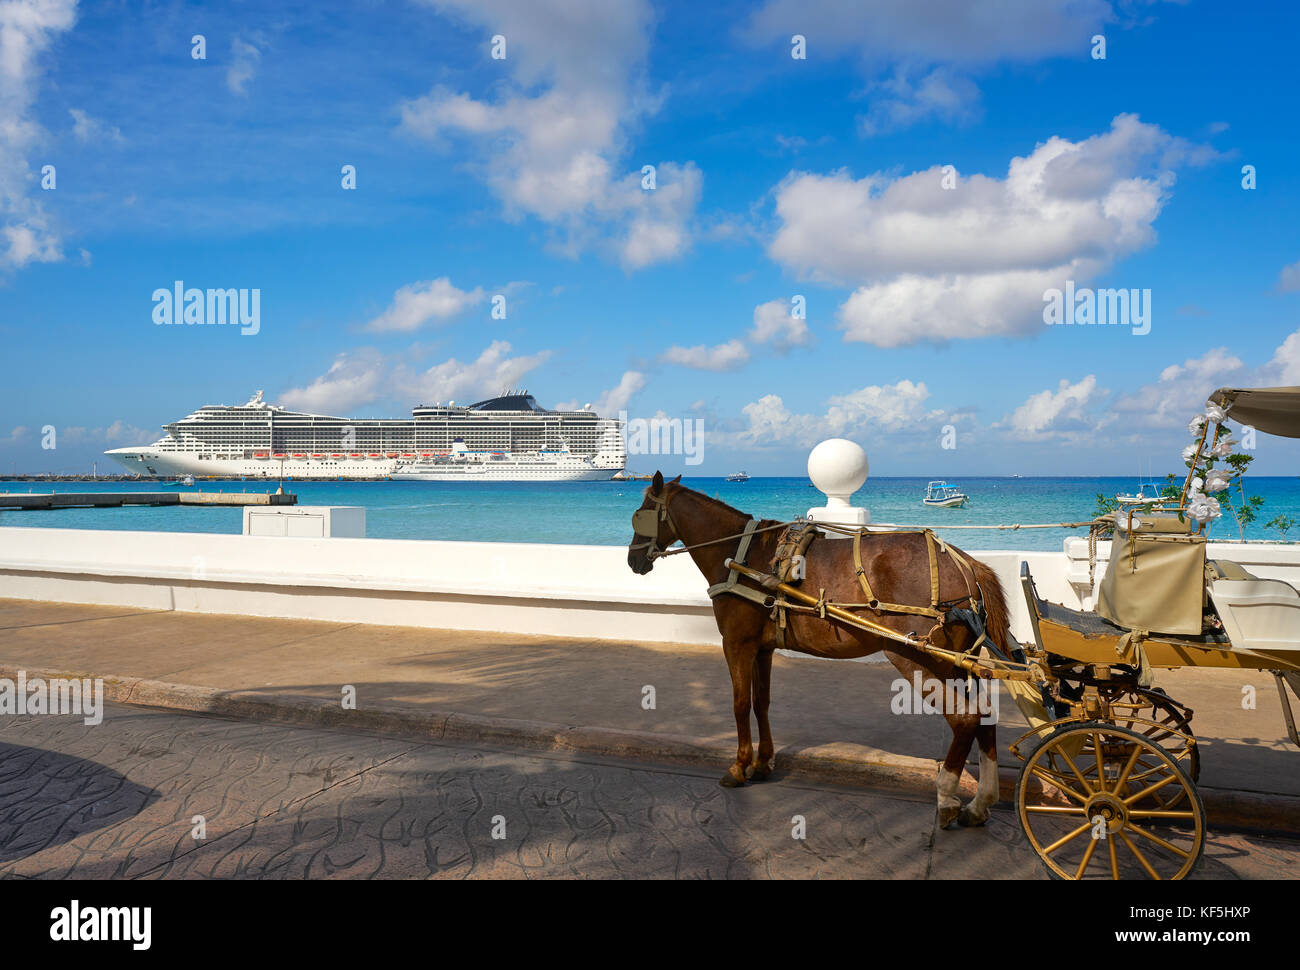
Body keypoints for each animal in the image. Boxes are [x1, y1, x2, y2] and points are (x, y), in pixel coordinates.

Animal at [629, 468, 1013, 821]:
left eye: (642, 511)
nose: (633, 559)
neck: (741, 553)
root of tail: (965, 564)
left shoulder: (736, 643)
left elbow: (739, 704)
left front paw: (739, 767)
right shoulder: (762, 647)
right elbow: (761, 703)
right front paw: (763, 763)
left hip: (917, 655)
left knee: (964, 718)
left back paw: (947, 795)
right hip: (957, 662)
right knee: (984, 714)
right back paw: (981, 802)